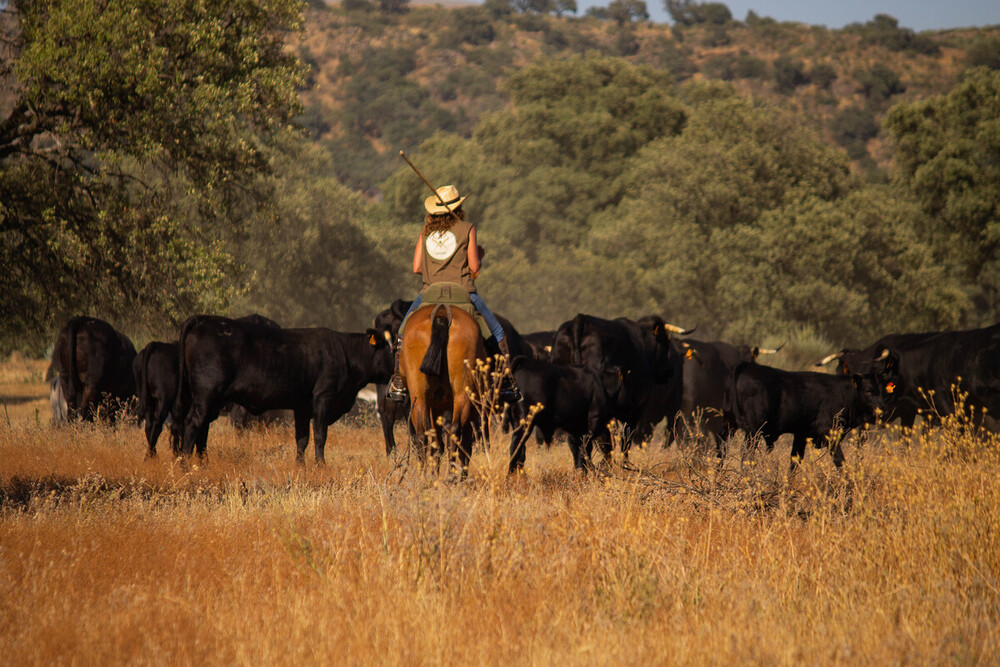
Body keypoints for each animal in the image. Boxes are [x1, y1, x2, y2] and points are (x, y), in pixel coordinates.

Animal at [174, 316, 392, 462]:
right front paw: (320, 464)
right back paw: (186, 463)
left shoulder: (302, 407)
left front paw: (300, 465)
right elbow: (320, 435)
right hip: (207, 395)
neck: (345, 352)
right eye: (392, 347)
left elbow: (302, 439)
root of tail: (203, 319)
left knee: (201, 428)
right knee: (193, 423)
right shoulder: (323, 399)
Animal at [402, 306, 488, 472]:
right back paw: (451, 474)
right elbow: (464, 447)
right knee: (455, 431)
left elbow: (437, 444)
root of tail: (441, 311)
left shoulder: (435, 406)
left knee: (422, 436)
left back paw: (422, 475)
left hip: (419, 395)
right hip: (463, 394)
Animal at [724, 366, 888, 470]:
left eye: (880, 390)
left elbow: (795, 462)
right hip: (753, 431)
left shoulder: (801, 435)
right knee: (746, 454)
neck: (844, 393)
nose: (882, 410)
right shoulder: (829, 432)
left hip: (728, 427)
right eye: (868, 390)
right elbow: (840, 461)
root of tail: (746, 366)